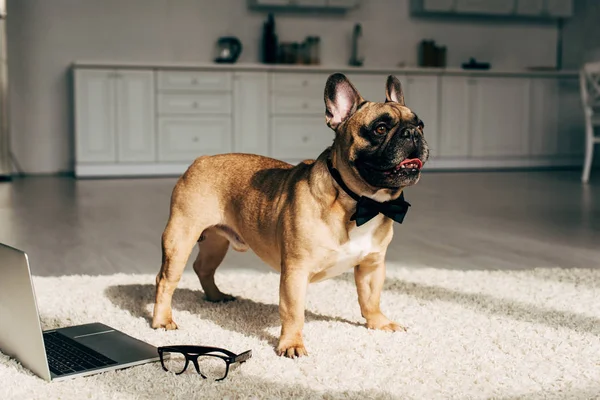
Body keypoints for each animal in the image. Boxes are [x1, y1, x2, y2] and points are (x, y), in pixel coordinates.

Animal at [152, 73, 428, 358]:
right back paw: (162, 320)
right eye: (380, 129)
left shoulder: (372, 265)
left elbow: (371, 298)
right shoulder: (296, 271)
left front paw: (379, 323)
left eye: (421, 125)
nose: (412, 133)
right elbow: (294, 311)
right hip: (180, 238)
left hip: (216, 242)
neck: (360, 200)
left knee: (203, 267)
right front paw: (292, 344)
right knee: (165, 279)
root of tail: (201, 160)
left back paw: (216, 296)